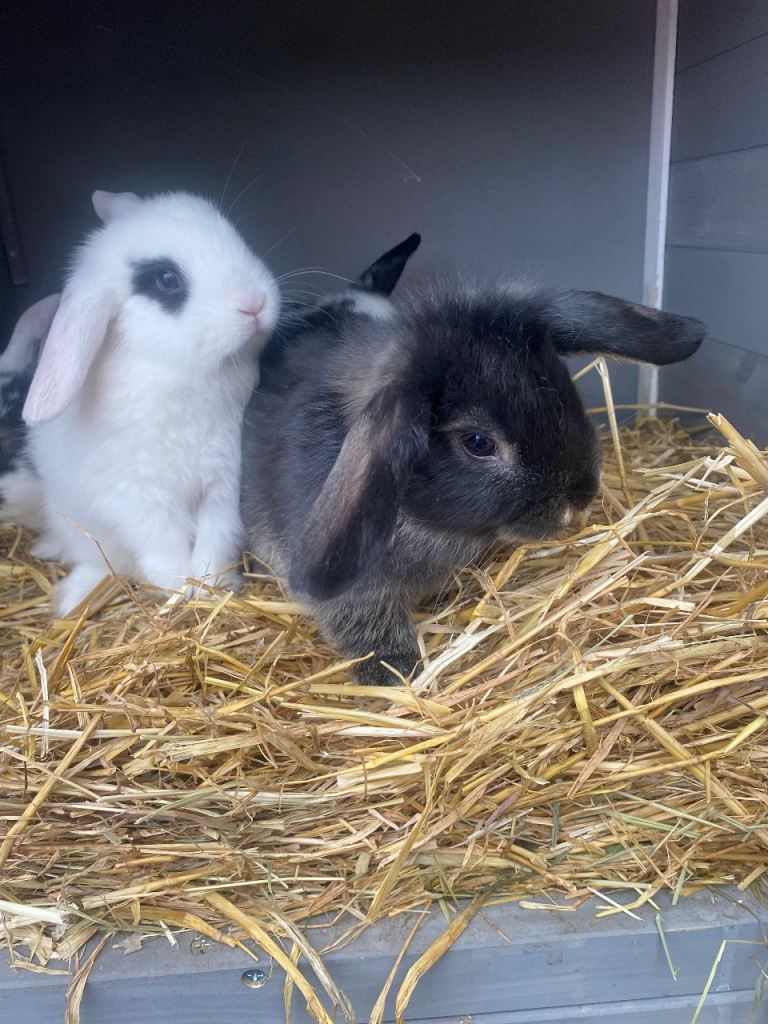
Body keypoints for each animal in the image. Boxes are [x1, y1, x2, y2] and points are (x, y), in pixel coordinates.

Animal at [0, 189, 279, 615]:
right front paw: (179, 590)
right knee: (100, 563)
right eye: (166, 279)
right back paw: (71, 598)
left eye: (233, 234)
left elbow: (216, 539)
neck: (179, 373)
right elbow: (164, 545)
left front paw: (212, 588)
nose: (255, 302)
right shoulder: (140, 499)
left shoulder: (225, 484)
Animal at [241, 272, 705, 685]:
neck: (424, 522)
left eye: (564, 388)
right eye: (479, 443)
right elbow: (365, 624)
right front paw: (394, 672)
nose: (581, 497)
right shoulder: (359, 594)